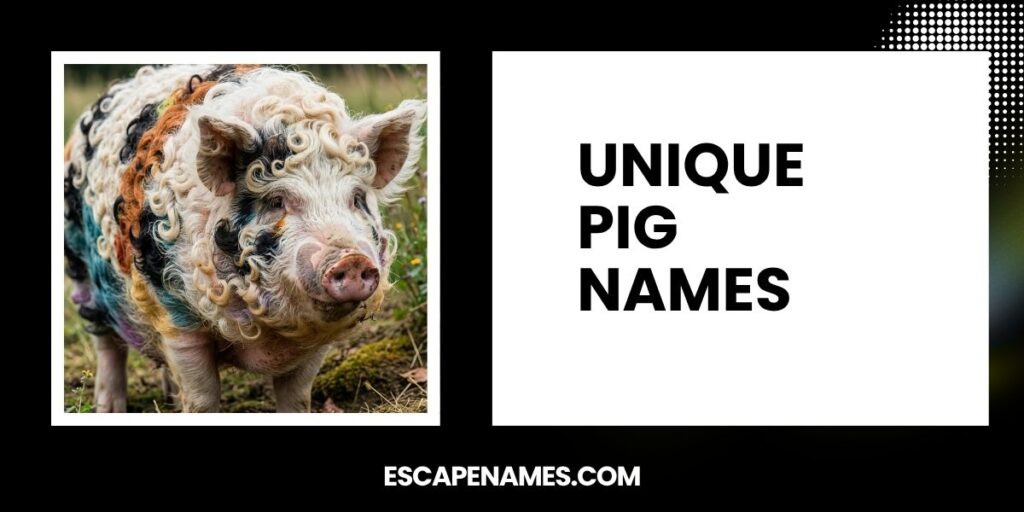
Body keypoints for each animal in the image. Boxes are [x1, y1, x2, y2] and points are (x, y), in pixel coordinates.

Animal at [64, 65, 425, 412]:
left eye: (356, 198)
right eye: (277, 201)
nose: (351, 259)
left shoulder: (316, 344)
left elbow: (297, 397)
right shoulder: (178, 320)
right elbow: (202, 397)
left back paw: (168, 401)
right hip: (82, 271)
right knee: (107, 345)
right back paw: (109, 409)